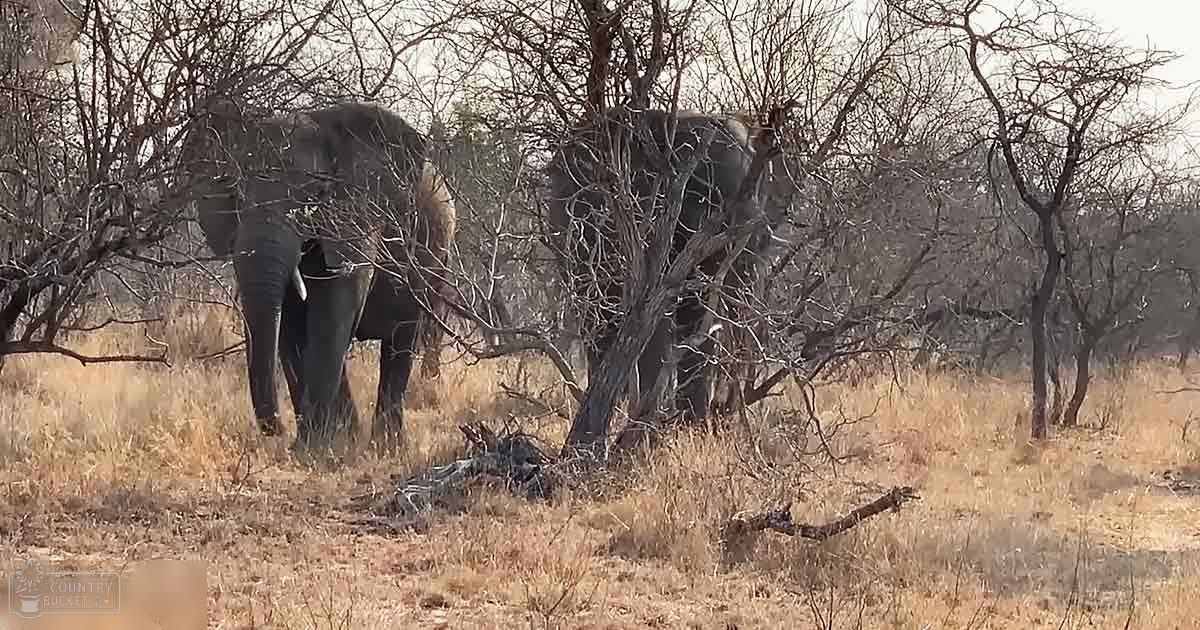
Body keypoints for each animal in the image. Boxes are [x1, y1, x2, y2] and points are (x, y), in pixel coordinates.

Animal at [180, 99, 456, 454]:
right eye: (236, 197)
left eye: (313, 194)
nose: (277, 429)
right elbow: (292, 324)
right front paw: (312, 446)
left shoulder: (359, 212)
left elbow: (334, 307)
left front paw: (315, 449)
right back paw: (352, 436)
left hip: (435, 254)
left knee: (401, 340)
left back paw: (384, 446)